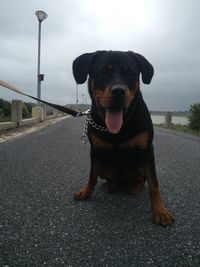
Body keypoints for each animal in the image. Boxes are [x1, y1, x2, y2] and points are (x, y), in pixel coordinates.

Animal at [71, 50, 173, 226]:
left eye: (130, 73)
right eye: (103, 71)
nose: (118, 91)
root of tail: (122, 182)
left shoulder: (147, 150)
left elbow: (154, 183)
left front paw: (160, 210)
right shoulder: (95, 151)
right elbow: (91, 175)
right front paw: (86, 192)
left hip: (140, 165)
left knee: (142, 179)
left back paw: (134, 187)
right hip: (104, 166)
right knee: (105, 177)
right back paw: (111, 185)